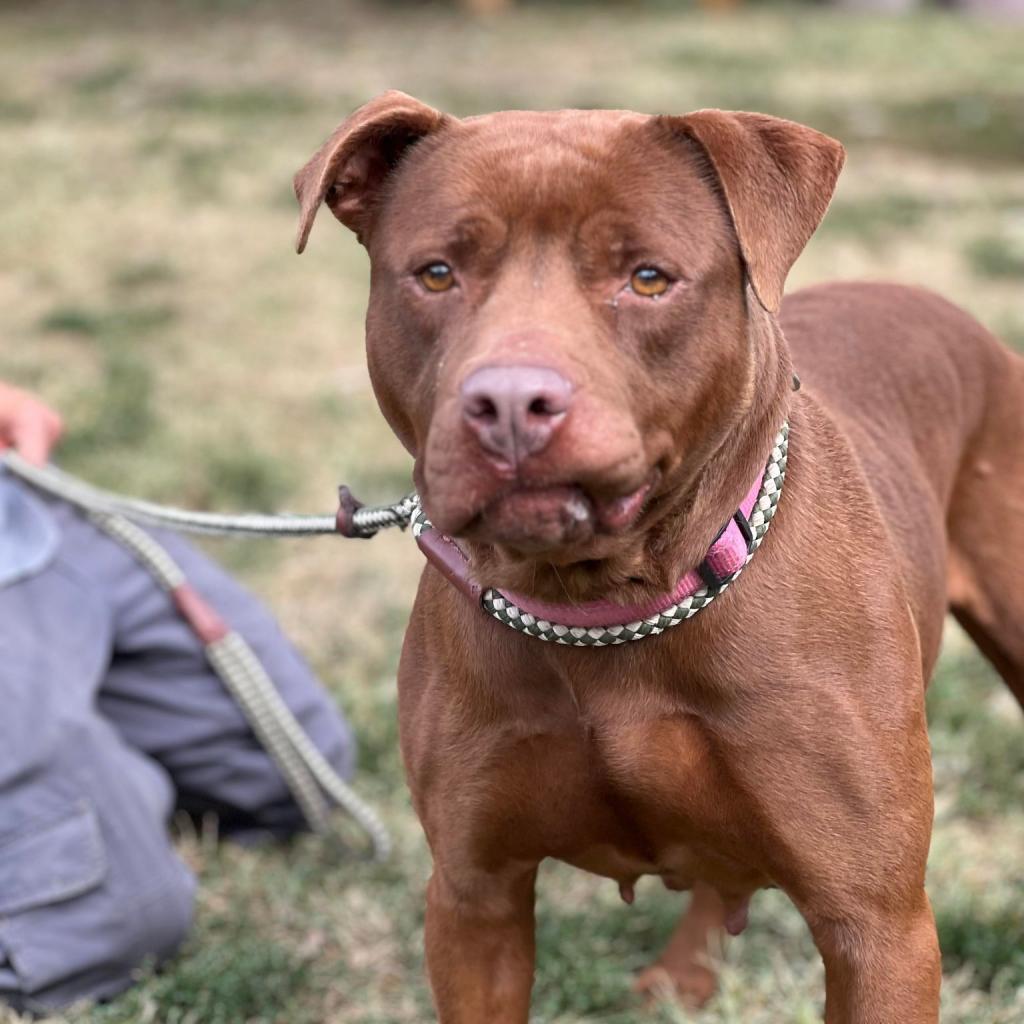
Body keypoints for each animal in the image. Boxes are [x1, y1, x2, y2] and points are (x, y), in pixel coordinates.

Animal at [294, 92, 1024, 1019]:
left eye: (647, 278)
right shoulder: (474, 900)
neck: (605, 603)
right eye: (435, 273)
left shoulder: (877, 926)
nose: (510, 403)